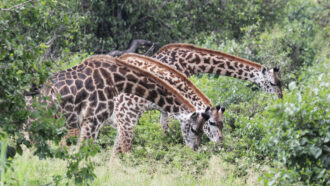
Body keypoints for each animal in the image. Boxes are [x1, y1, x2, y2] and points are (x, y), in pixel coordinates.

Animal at [23, 55, 211, 151]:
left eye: (204, 130)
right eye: (195, 129)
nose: (195, 149)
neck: (118, 80)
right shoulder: (94, 120)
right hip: (37, 122)